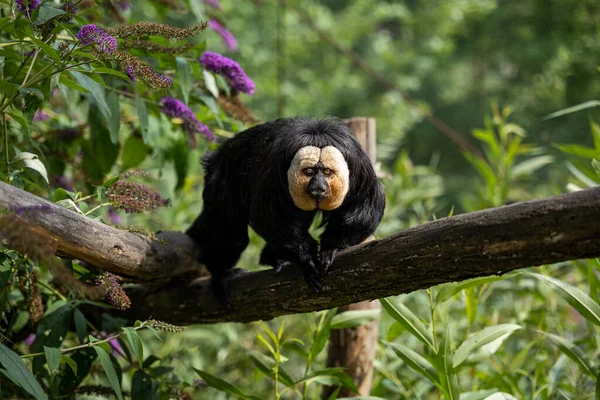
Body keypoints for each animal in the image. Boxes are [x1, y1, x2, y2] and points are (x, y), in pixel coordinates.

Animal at [185, 115, 386, 310]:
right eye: (309, 171)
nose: (318, 186)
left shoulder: (359, 166)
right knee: (230, 230)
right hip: (222, 177)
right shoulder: (272, 172)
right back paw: (221, 274)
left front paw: (331, 247)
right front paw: (306, 259)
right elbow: (269, 217)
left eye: (327, 172)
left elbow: (366, 204)